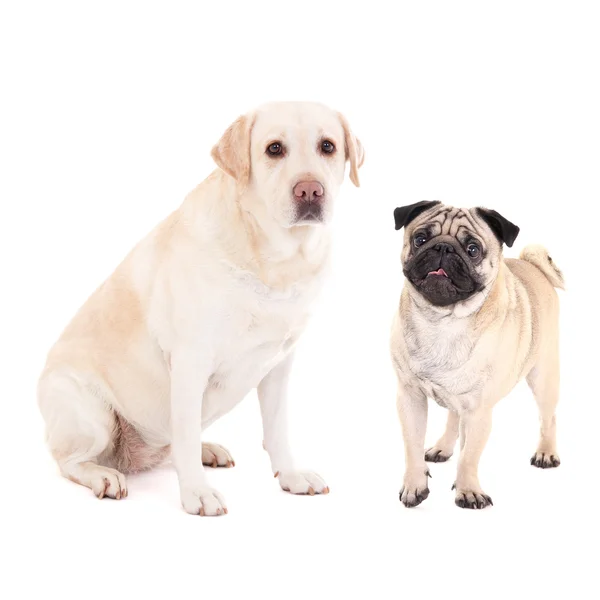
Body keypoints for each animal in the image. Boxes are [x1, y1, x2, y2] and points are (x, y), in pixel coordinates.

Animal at [39, 101, 366, 512]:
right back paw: (105, 475)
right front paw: (197, 493)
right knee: (72, 461)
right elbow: (186, 436)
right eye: (274, 149)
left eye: (328, 146)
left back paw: (206, 449)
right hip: (90, 414)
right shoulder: (190, 360)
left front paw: (290, 476)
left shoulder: (279, 364)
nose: (310, 190)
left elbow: (276, 429)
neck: (273, 261)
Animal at [390, 203, 564, 510]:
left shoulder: (479, 410)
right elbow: (412, 446)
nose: (444, 248)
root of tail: (533, 265)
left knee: (548, 418)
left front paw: (468, 490)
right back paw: (442, 448)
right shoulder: (410, 398)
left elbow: (469, 456)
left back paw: (546, 452)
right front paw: (414, 485)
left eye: (472, 249)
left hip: (543, 377)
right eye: (420, 239)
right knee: (452, 418)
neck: (443, 321)